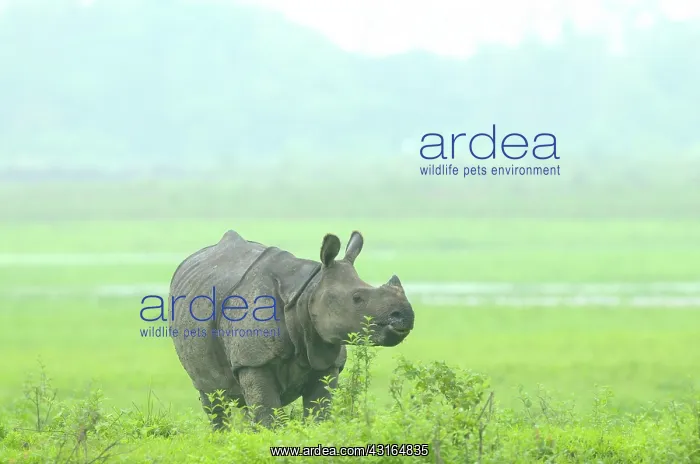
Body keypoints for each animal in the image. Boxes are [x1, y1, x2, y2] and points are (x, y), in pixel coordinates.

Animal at [168, 230, 415, 429]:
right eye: (357, 298)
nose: (405, 315)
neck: (308, 293)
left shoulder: (326, 358)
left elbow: (319, 412)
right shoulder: (253, 360)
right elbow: (268, 414)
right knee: (212, 395)